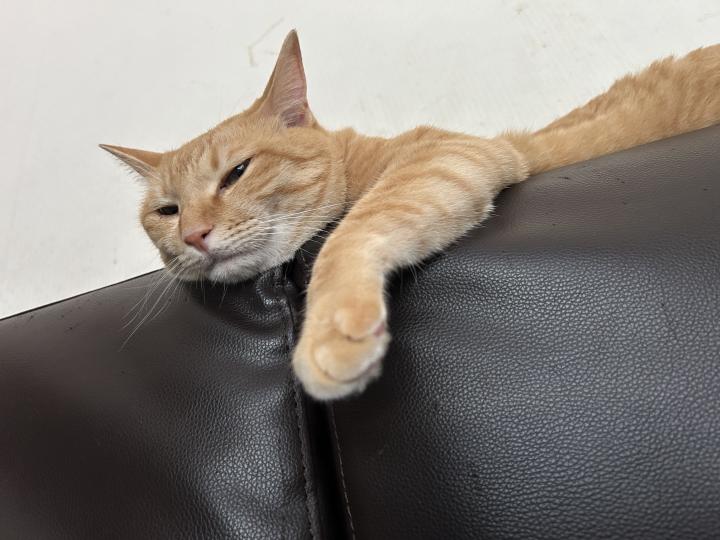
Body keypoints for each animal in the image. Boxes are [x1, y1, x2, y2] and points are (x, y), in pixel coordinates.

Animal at [101, 31, 720, 400]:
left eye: (236, 173)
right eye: (167, 210)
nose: (194, 234)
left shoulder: (445, 155)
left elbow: (347, 235)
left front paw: (330, 330)